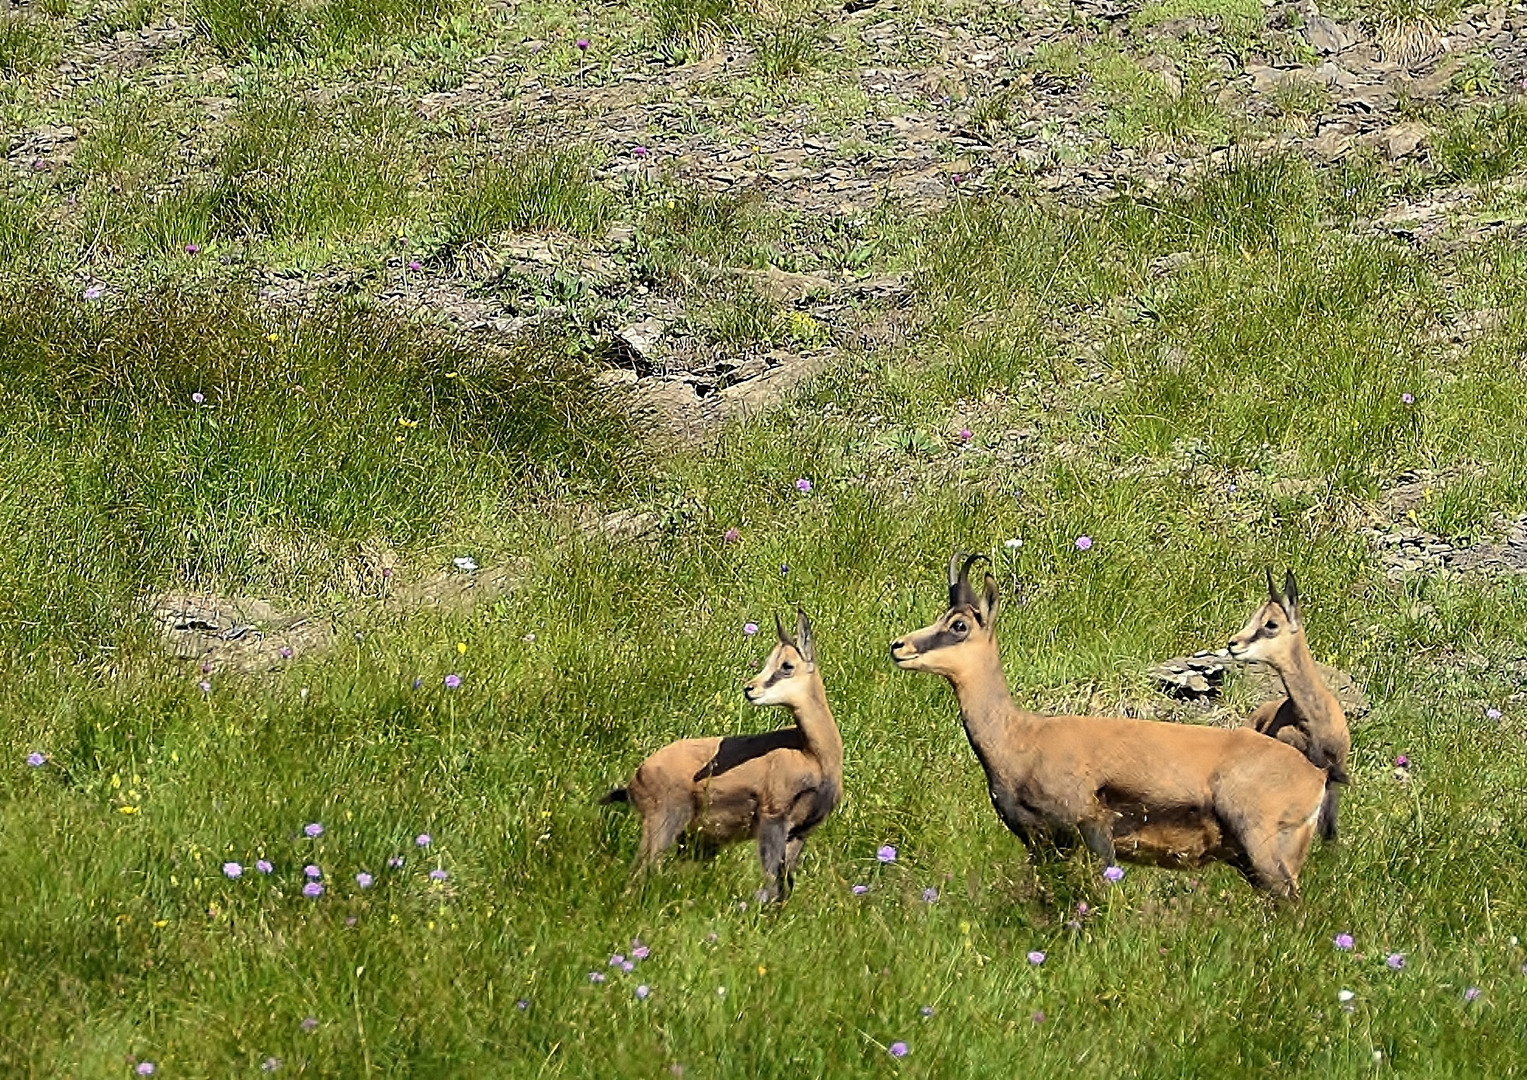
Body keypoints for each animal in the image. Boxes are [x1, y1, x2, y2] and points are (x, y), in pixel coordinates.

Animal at [598, 607, 842, 904]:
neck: (813, 757)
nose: (749, 689)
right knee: (640, 872)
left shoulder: (799, 833)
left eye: (786, 665)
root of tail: (636, 778)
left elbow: (783, 890)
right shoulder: (773, 820)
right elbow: (773, 885)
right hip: (664, 825)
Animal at [891, 552, 1331, 898]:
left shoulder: (1091, 833)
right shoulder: (1040, 843)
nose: (899, 646)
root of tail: (1316, 775)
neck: (1023, 737)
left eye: (959, 625)